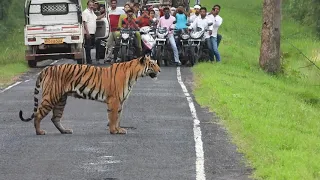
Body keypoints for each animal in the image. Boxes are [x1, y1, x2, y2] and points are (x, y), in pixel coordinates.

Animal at [18, 54, 161, 135]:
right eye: (152, 64)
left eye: (156, 63)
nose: (160, 70)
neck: (134, 75)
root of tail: (47, 68)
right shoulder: (114, 100)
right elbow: (113, 117)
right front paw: (114, 131)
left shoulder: (120, 102)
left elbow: (118, 117)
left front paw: (119, 130)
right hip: (51, 97)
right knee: (38, 114)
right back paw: (39, 132)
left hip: (61, 100)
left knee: (55, 118)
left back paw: (65, 131)